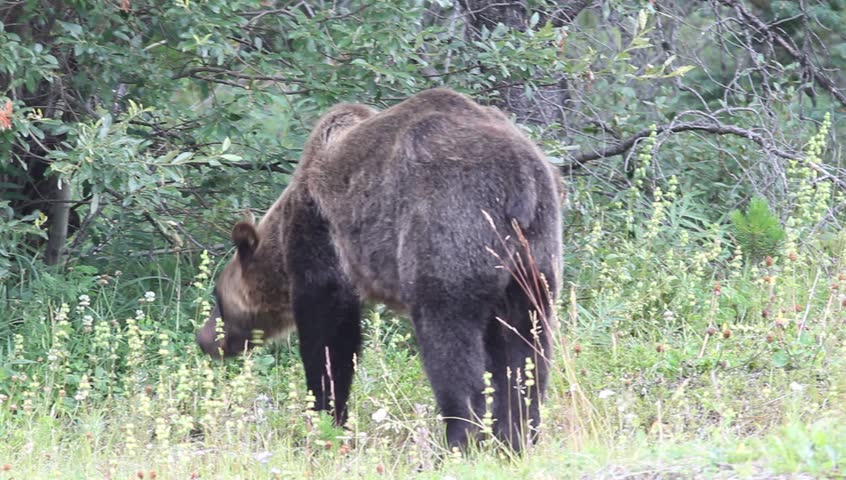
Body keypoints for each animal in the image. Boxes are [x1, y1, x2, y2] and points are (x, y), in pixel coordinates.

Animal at [196, 88, 563, 452]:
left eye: (218, 299)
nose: (204, 338)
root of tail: (520, 179)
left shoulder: (321, 236)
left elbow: (328, 333)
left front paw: (326, 415)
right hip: (533, 259)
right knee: (528, 348)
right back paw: (517, 437)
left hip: (450, 225)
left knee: (448, 338)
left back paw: (457, 440)